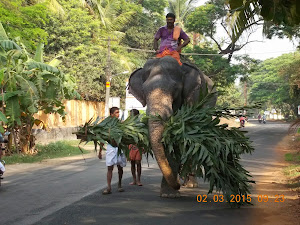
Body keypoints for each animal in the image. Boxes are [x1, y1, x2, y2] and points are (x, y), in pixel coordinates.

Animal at [127, 56, 216, 197]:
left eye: (175, 89)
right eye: (144, 92)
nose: (177, 185)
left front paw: (170, 193)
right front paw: (169, 193)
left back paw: (190, 184)